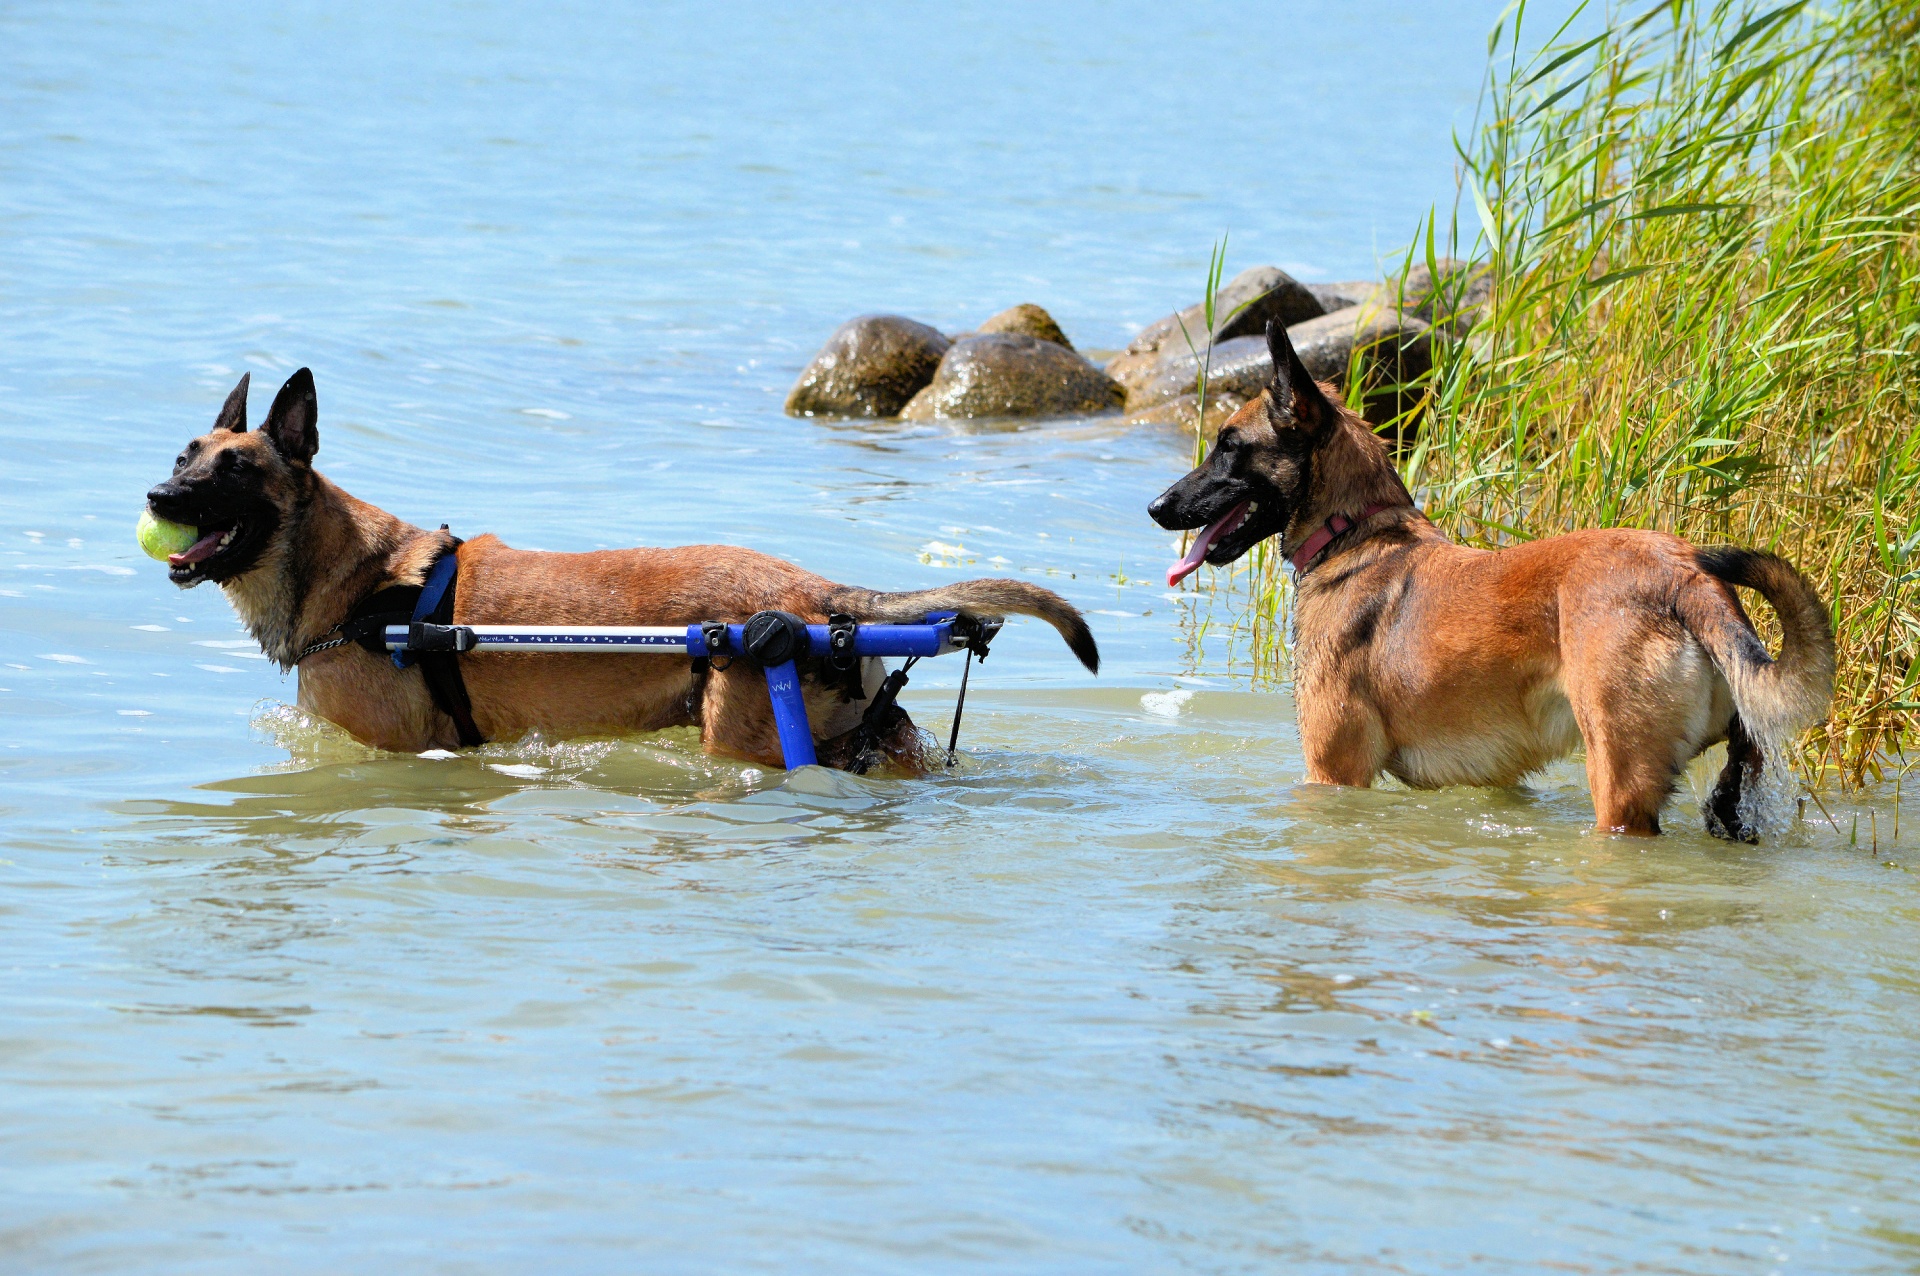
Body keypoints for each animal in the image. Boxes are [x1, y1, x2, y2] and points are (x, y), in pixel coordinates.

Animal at [145, 368, 1098, 767]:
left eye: (234, 471)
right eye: (185, 455)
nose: (158, 495)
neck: (354, 576)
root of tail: (813, 592)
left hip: (744, 735)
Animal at [1144, 320, 1835, 836]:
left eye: (1229, 447)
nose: (1155, 507)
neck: (1355, 532)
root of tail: (1686, 574)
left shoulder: (1333, 772)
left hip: (1617, 780)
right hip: (1729, 782)